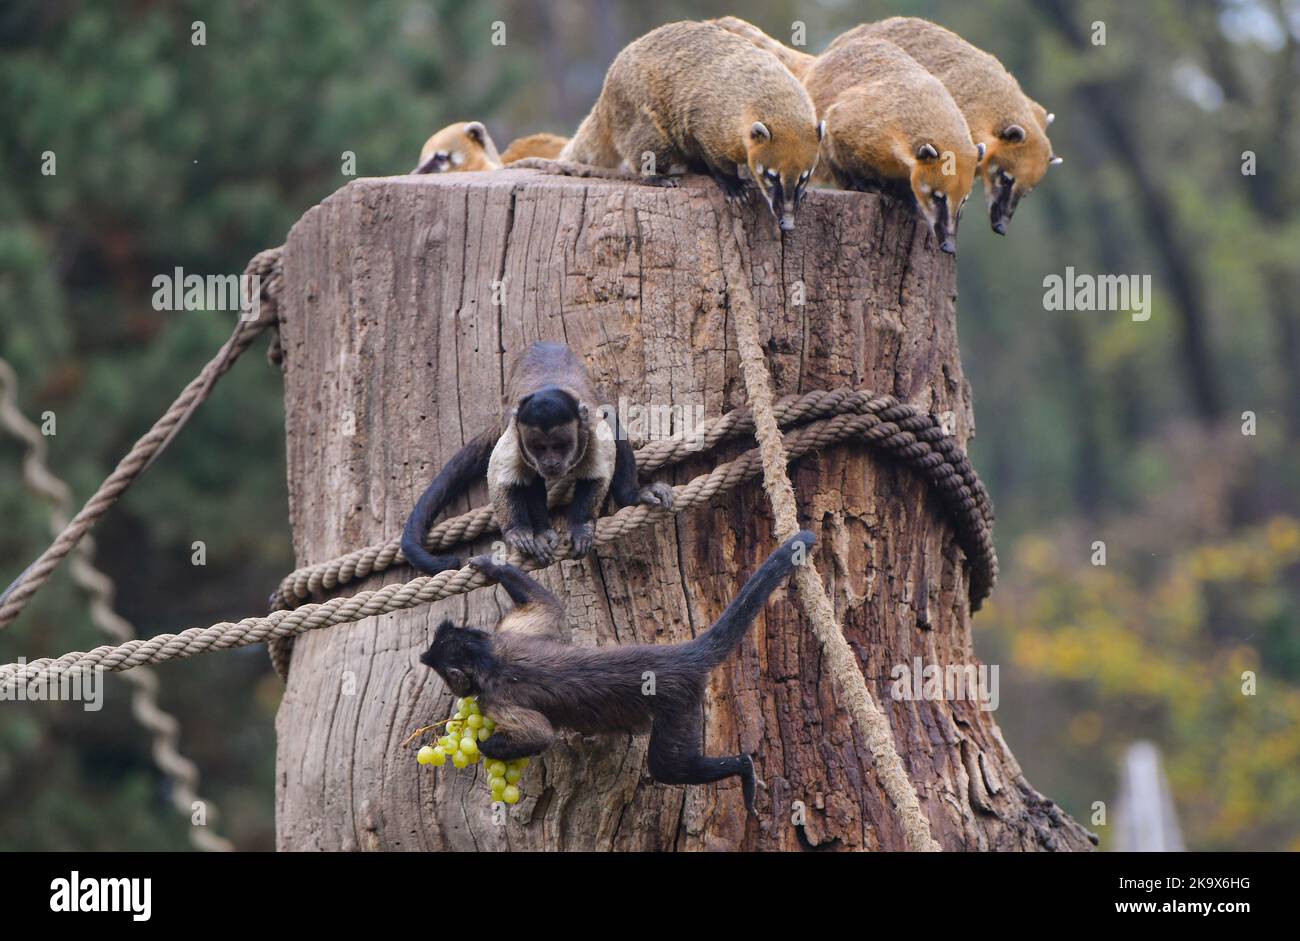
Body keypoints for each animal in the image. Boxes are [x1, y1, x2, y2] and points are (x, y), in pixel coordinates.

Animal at [400, 342, 673, 575]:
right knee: (527, 477)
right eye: (539, 447)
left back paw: (631, 495)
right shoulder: (514, 435)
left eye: (560, 446)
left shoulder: (592, 428)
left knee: (611, 419)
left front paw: (581, 527)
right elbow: (502, 479)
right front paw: (517, 532)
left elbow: (598, 472)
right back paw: (542, 532)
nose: (550, 462)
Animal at [419, 530, 817, 813]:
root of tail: (678, 656)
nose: (454, 689)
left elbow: (539, 736)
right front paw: (493, 566)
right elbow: (547, 606)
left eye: (448, 678)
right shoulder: (508, 636)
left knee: (667, 767)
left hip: (679, 703)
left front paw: (483, 746)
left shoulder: (493, 698)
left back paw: (744, 768)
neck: (491, 658)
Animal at [558, 21, 824, 232]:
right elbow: (714, 154)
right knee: (647, 145)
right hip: (637, 111)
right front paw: (732, 183)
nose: (787, 224)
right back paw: (656, 176)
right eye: (771, 176)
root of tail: (605, 92)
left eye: (804, 177)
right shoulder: (710, 122)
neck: (777, 100)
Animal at [803, 37, 984, 254]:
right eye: (938, 197)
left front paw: (908, 197)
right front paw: (866, 184)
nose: (949, 247)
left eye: (964, 200)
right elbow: (843, 145)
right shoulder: (859, 124)